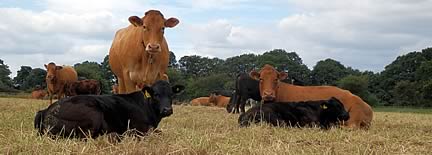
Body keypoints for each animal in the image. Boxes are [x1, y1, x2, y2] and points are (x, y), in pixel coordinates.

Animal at [32, 80, 184, 139]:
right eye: (156, 94)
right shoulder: (139, 128)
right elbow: (159, 133)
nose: (167, 110)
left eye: (171, 94)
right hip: (94, 114)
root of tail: (46, 110)